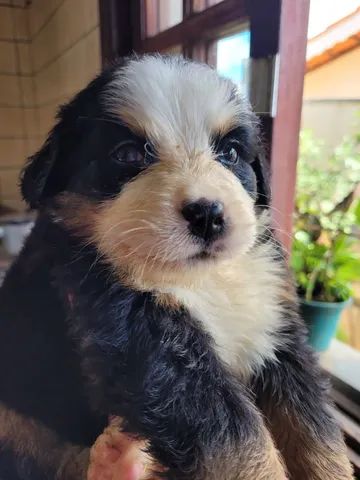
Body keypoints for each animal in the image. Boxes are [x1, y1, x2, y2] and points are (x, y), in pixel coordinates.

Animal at [0, 57, 354, 480]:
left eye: (231, 153)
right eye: (128, 155)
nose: (208, 215)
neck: (204, 281)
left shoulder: (275, 329)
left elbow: (314, 428)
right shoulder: (148, 340)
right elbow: (238, 443)